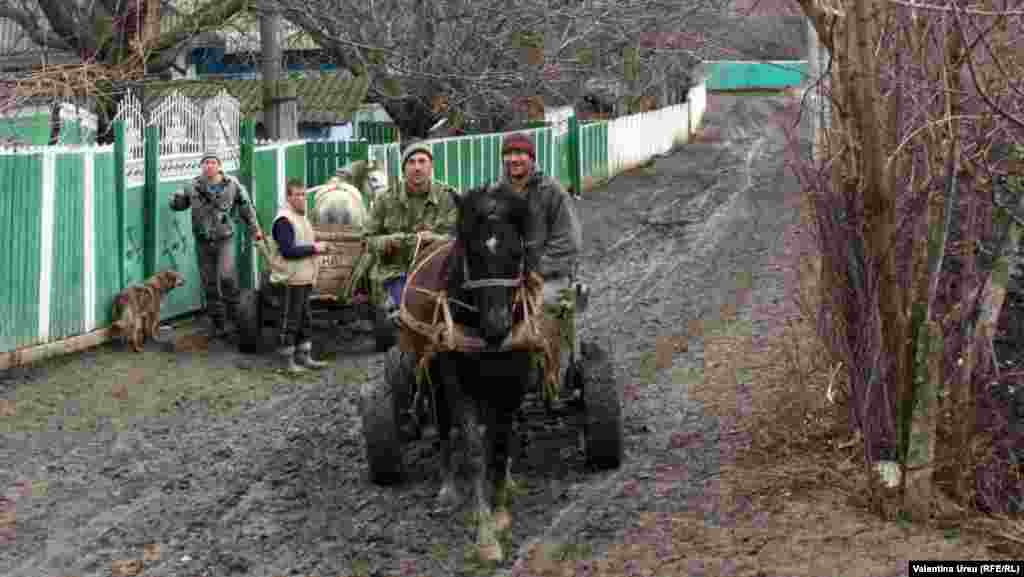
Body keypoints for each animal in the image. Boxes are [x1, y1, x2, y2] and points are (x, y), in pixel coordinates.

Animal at [425, 182, 536, 561]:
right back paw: (447, 487)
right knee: (445, 423)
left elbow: (499, 443)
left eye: (517, 252)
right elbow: (473, 448)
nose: (497, 326)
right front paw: (485, 533)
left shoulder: (513, 378)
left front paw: (500, 510)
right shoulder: (455, 379)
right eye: (472, 254)